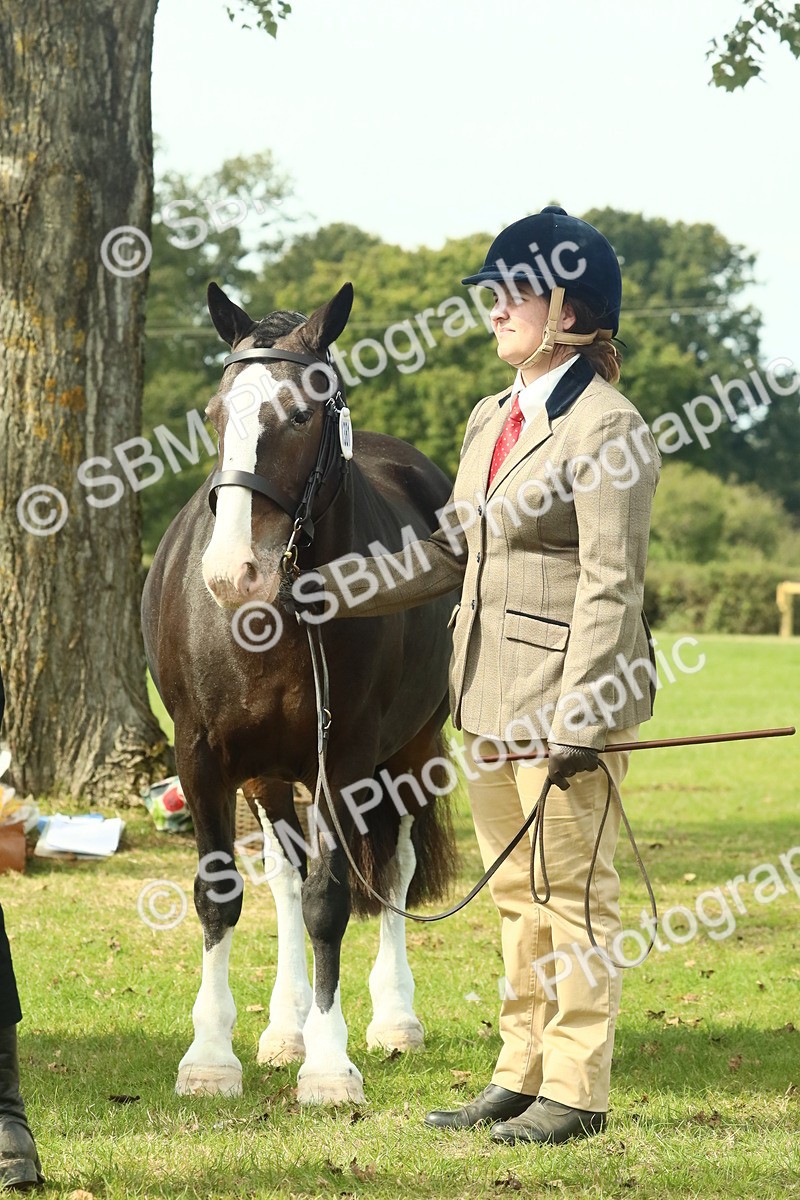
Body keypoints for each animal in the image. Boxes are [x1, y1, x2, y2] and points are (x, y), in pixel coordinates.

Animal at [141, 281, 458, 1104]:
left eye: (301, 414)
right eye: (215, 414)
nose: (233, 573)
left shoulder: (340, 763)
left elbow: (331, 901)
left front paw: (330, 1062)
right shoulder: (202, 759)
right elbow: (223, 896)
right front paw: (212, 1056)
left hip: (410, 752)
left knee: (393, 870)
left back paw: (393, 1019)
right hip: (268, 773)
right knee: (283, 882)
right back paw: (285, 1029)